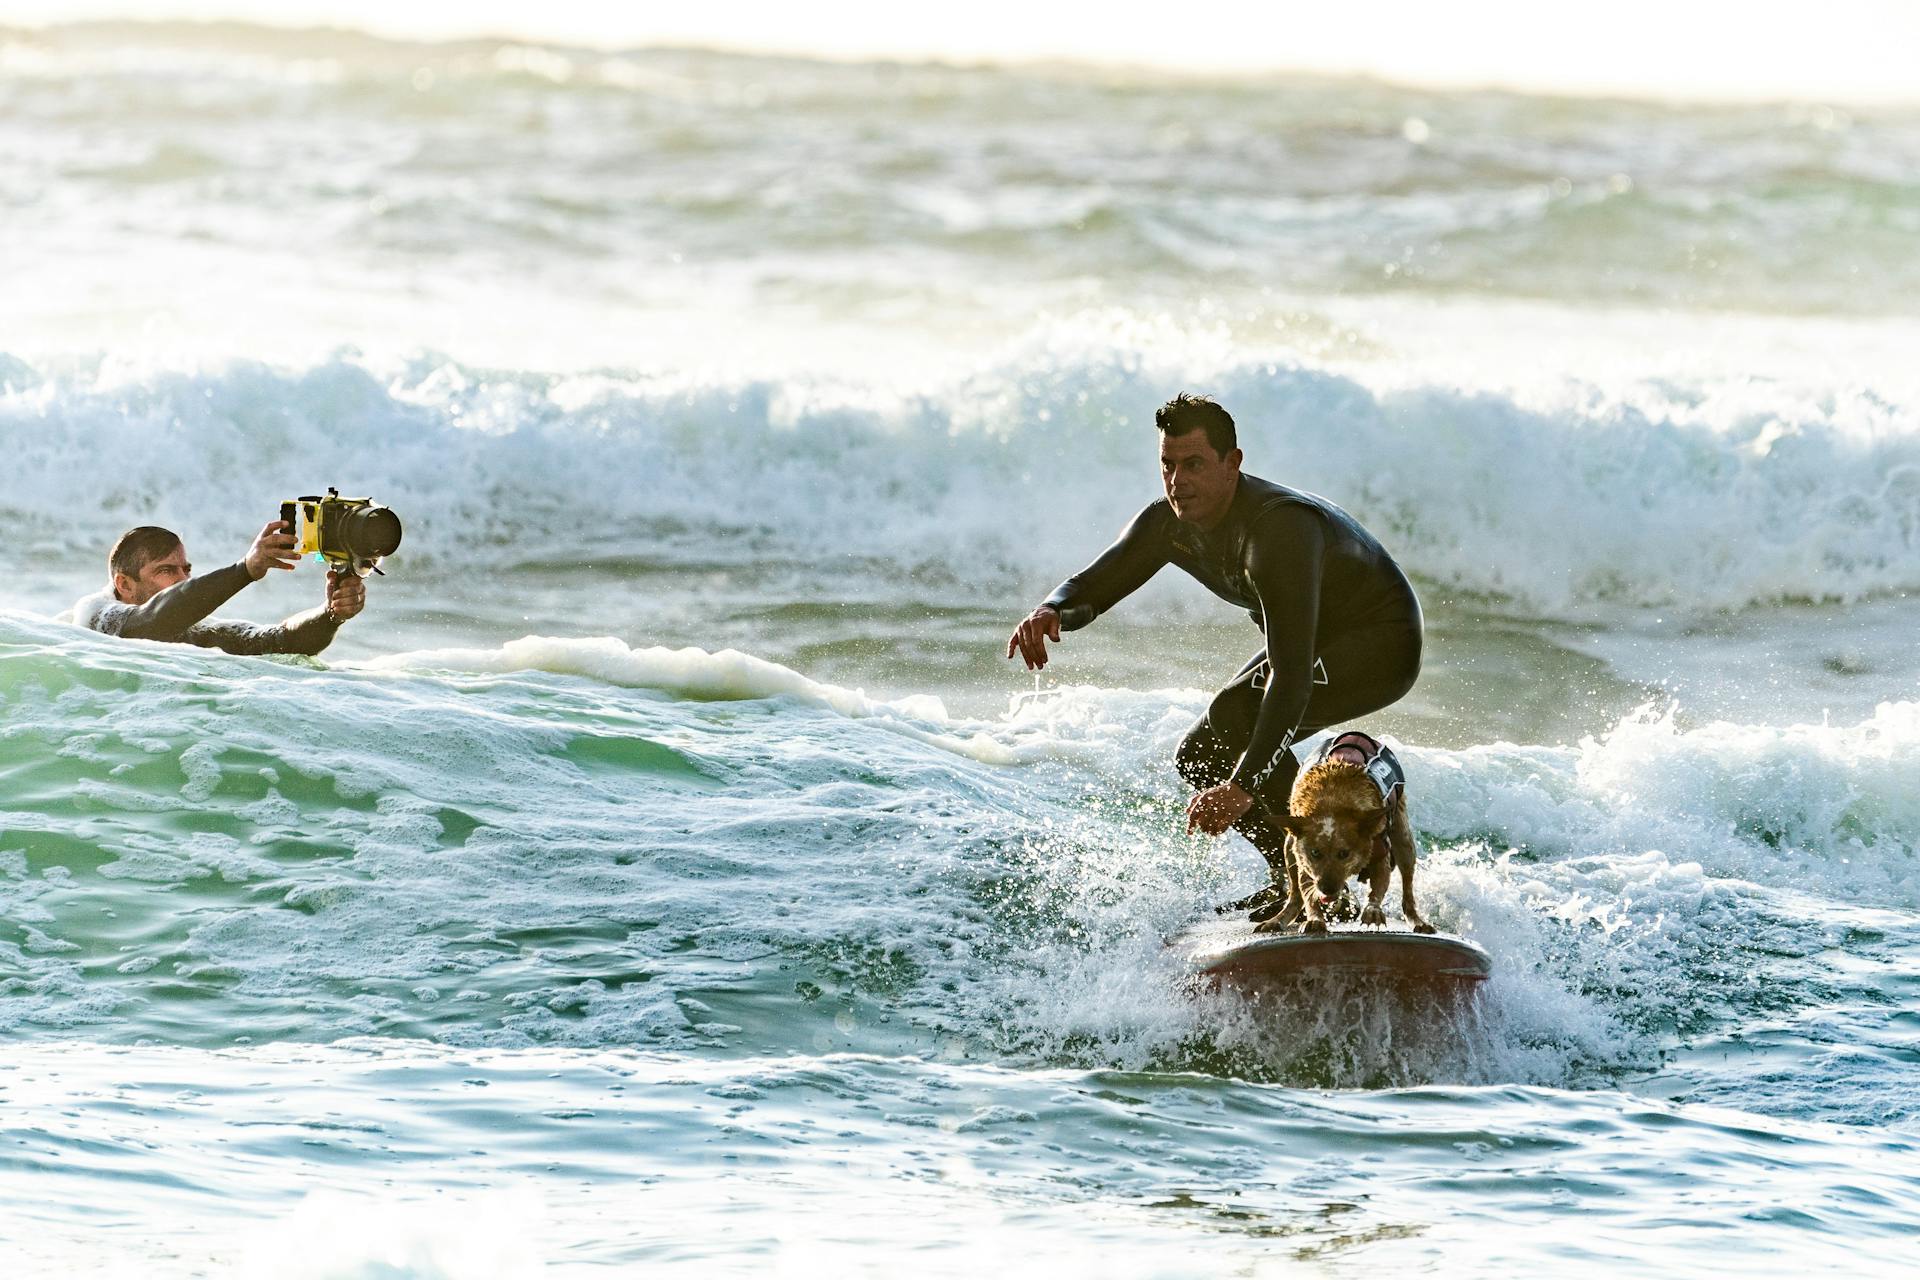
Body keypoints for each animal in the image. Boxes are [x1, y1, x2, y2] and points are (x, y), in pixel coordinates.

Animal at [1251, 736, 1436, 936]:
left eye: (1344, 853)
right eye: (1315, 853)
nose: (1327, 888)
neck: (1332, 801)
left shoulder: (1380, 853)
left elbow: (1378, 887)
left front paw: (1372, 910)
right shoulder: (1303, 859)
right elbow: (1307, 891)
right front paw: (1315, 918)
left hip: (1403, 840)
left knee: (1407, 887)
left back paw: (1416, 920)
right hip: (1289, 846)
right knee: (1294, 894)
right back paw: (1278, 918)